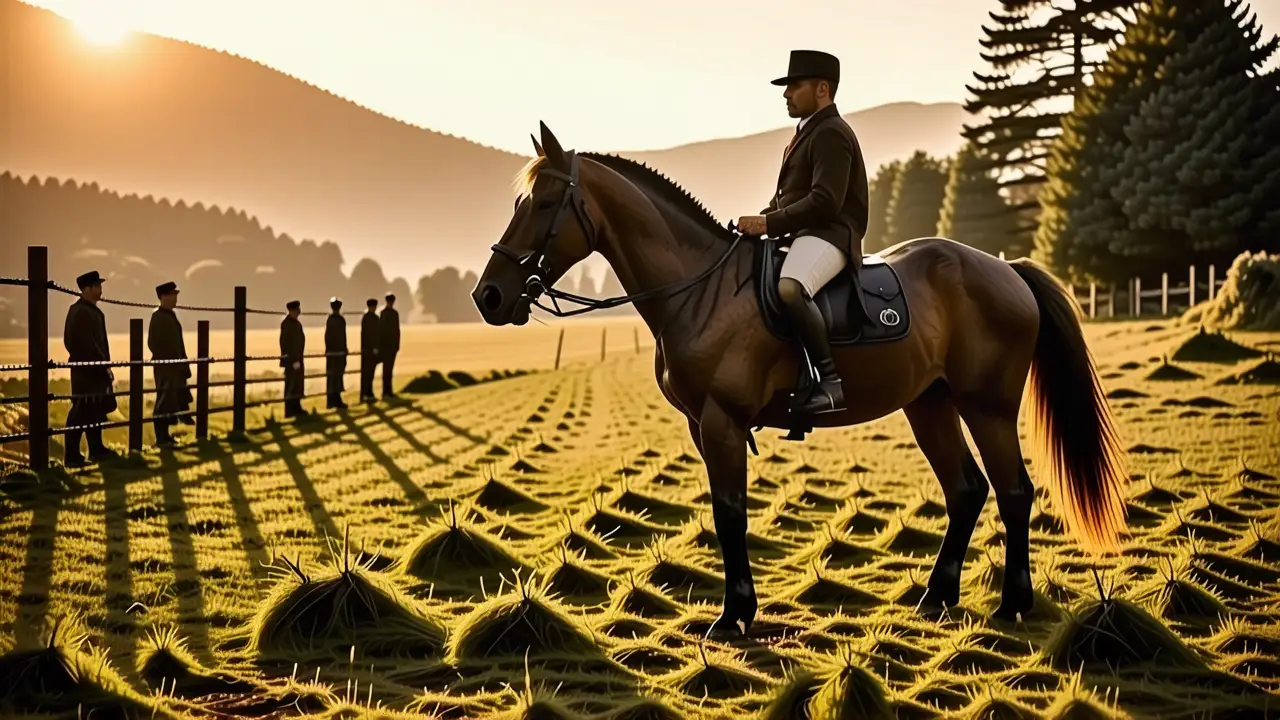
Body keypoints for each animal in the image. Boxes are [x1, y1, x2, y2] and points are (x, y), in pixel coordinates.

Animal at [471, 122, 1129, 638]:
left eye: (543, 204)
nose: (489, 296)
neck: (700, 289)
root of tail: (1005, 268)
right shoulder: (701, 425)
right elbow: (725, 511)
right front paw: (738, 609)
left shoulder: (722, 421)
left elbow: (729, 511)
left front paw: (733, 615)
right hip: (930, 404)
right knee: (966, 489)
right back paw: (935, 597)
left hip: (986, 405)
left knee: (1014, 491)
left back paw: (1013, 603)